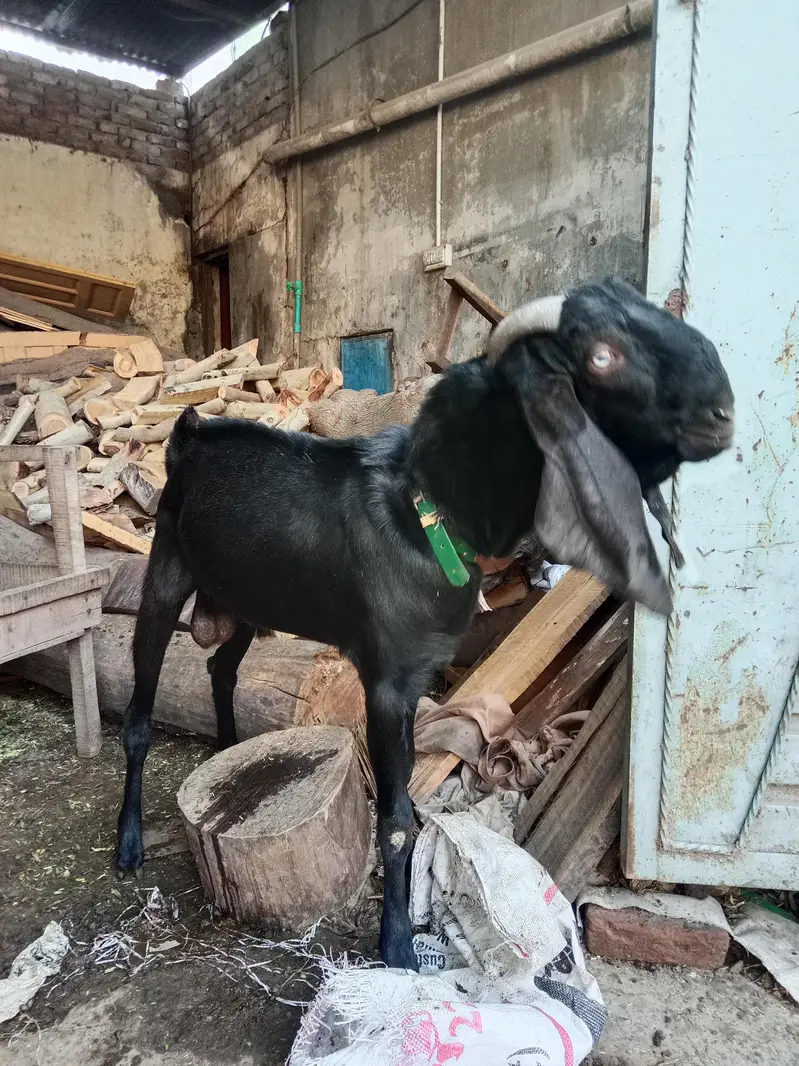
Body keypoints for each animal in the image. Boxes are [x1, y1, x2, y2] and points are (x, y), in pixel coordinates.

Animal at [116, 277, 734, 971]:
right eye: (603, 356)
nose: (722, 414)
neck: (429, 512)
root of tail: (189, 434)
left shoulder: (416, 679)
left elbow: (408, 798)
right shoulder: (386, 684)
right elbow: (393, 823)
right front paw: (397, 948)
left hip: (249, 595)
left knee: (221, 666)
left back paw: (227, 750)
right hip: (166, 569)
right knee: (139, 714)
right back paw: (129, 842)